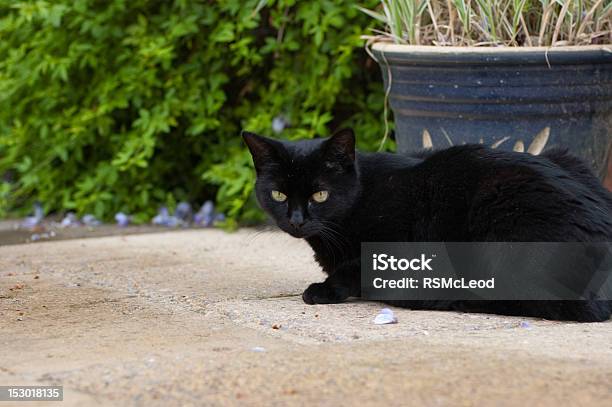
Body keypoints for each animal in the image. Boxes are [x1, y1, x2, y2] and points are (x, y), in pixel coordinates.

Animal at [244, 129, 612, 324]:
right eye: (278, 194)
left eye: (320, 194)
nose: (296, 220)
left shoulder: (400, 247)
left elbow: (355, 267)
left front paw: (324, 289)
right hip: (566, 156)